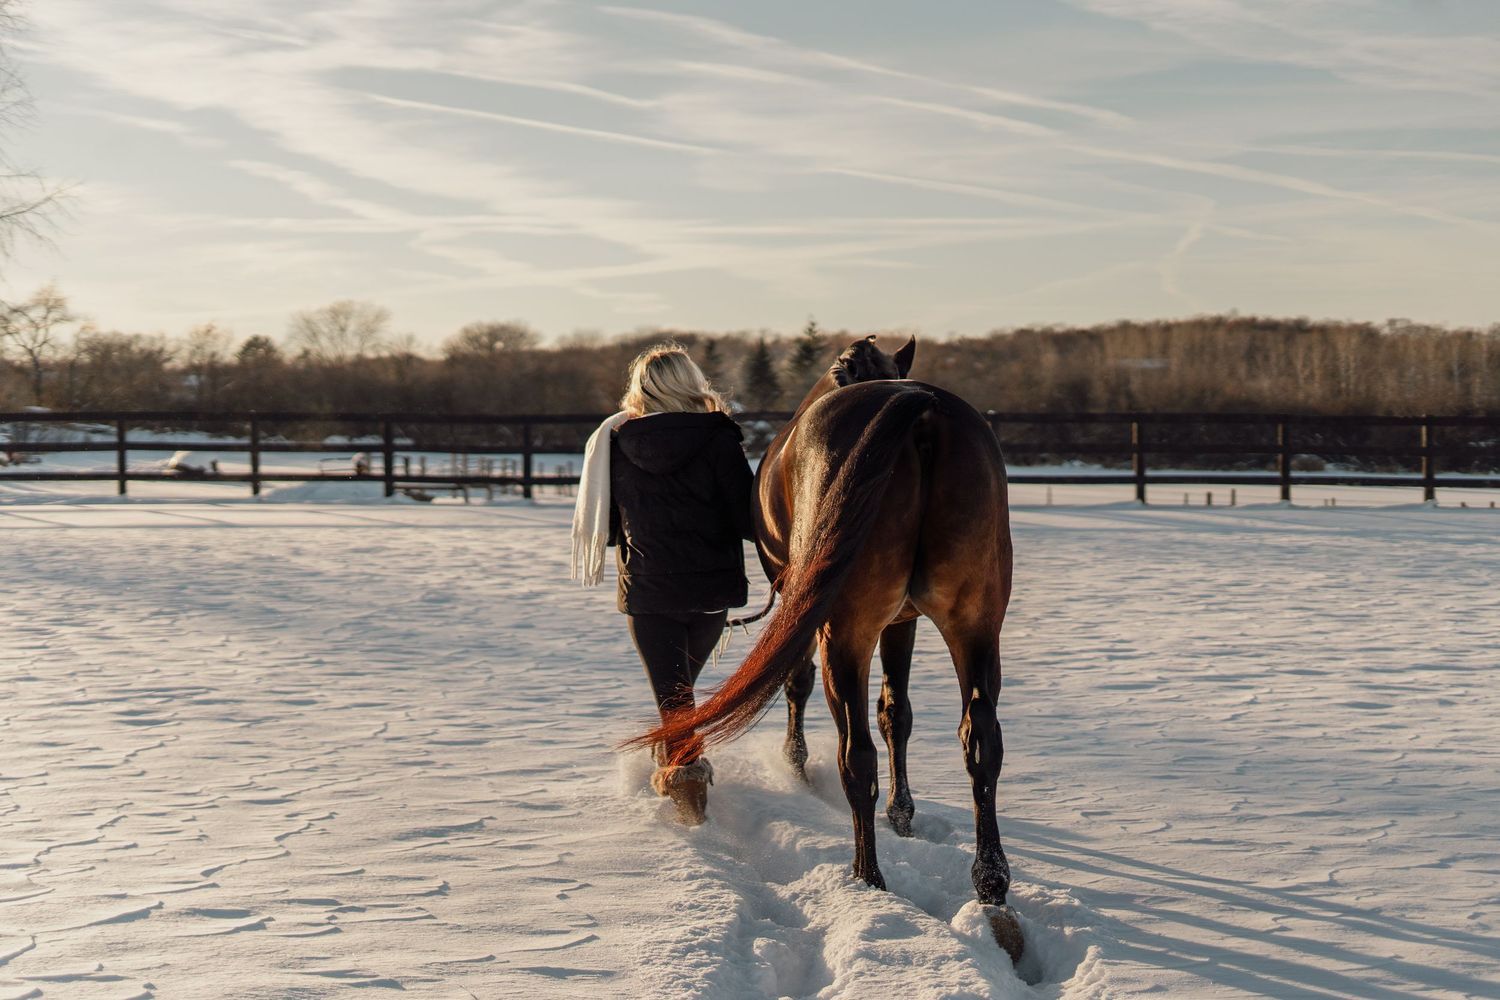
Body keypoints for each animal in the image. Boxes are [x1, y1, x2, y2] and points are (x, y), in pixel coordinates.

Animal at [627, 335, 1022, 959]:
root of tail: (918, 408)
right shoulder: (903, 621)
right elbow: (897, 713)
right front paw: (903, 815)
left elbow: (805, 686)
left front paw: (796, 762)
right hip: (976, 626)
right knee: (979, 741)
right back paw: (991, 889)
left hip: (846, 631)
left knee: (855, 755)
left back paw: (867, 878)